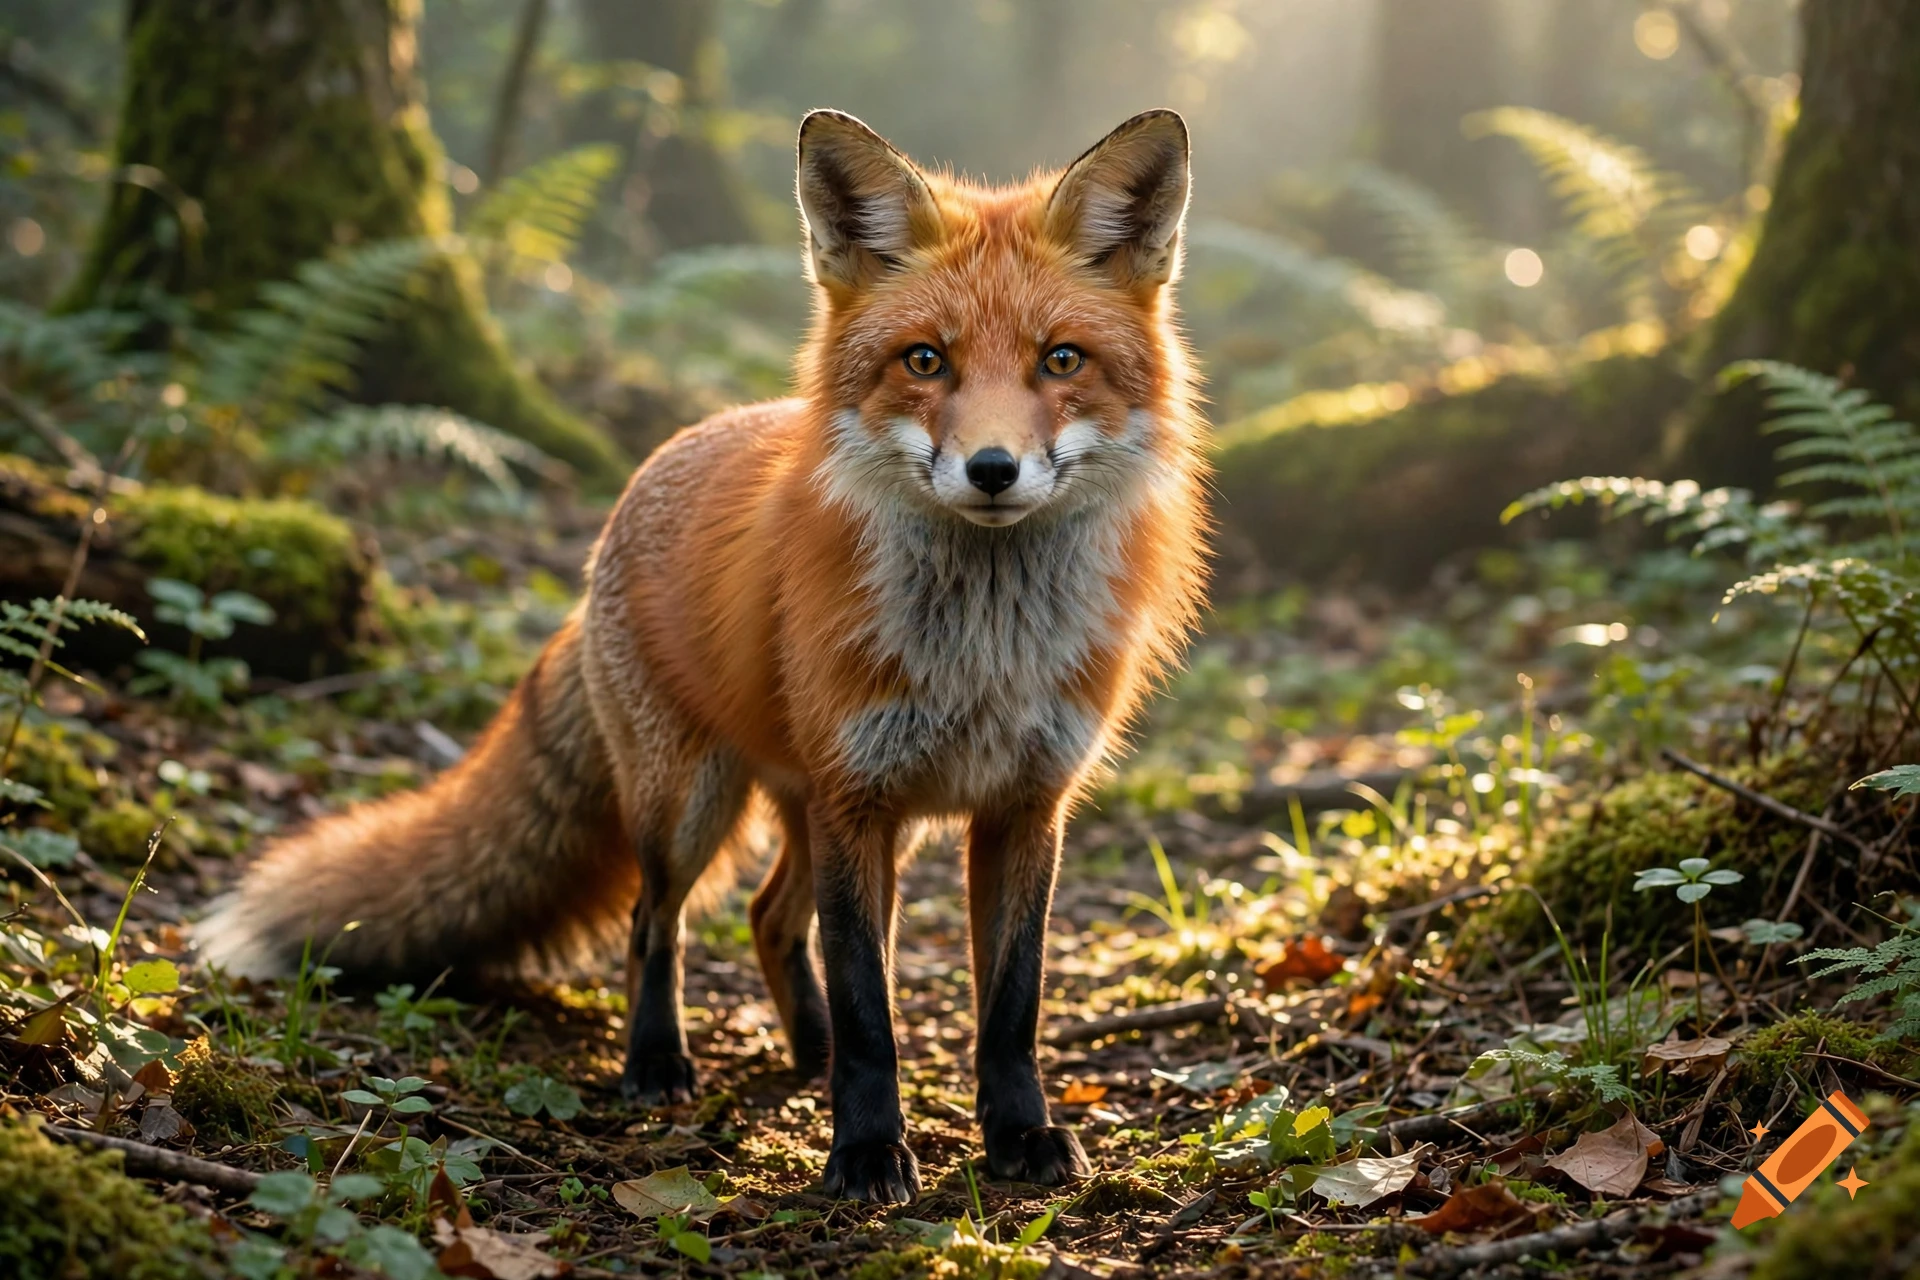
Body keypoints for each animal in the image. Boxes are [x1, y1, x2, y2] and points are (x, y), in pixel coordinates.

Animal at [197, 108, 1209, 1204]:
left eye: (1061, 361)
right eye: (925, 362)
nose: (991, 469)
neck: (981, 652)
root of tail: (646, 476)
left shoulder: (1024, 804)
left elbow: (1012, 1004)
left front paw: (1019, 1134)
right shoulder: (860, 798)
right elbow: (870, 1011)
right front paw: (865, 1148)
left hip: (824, 816)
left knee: (769, 917)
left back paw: (803, 1051)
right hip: (692, 806)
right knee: (657, 921)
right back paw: (658, 1062)